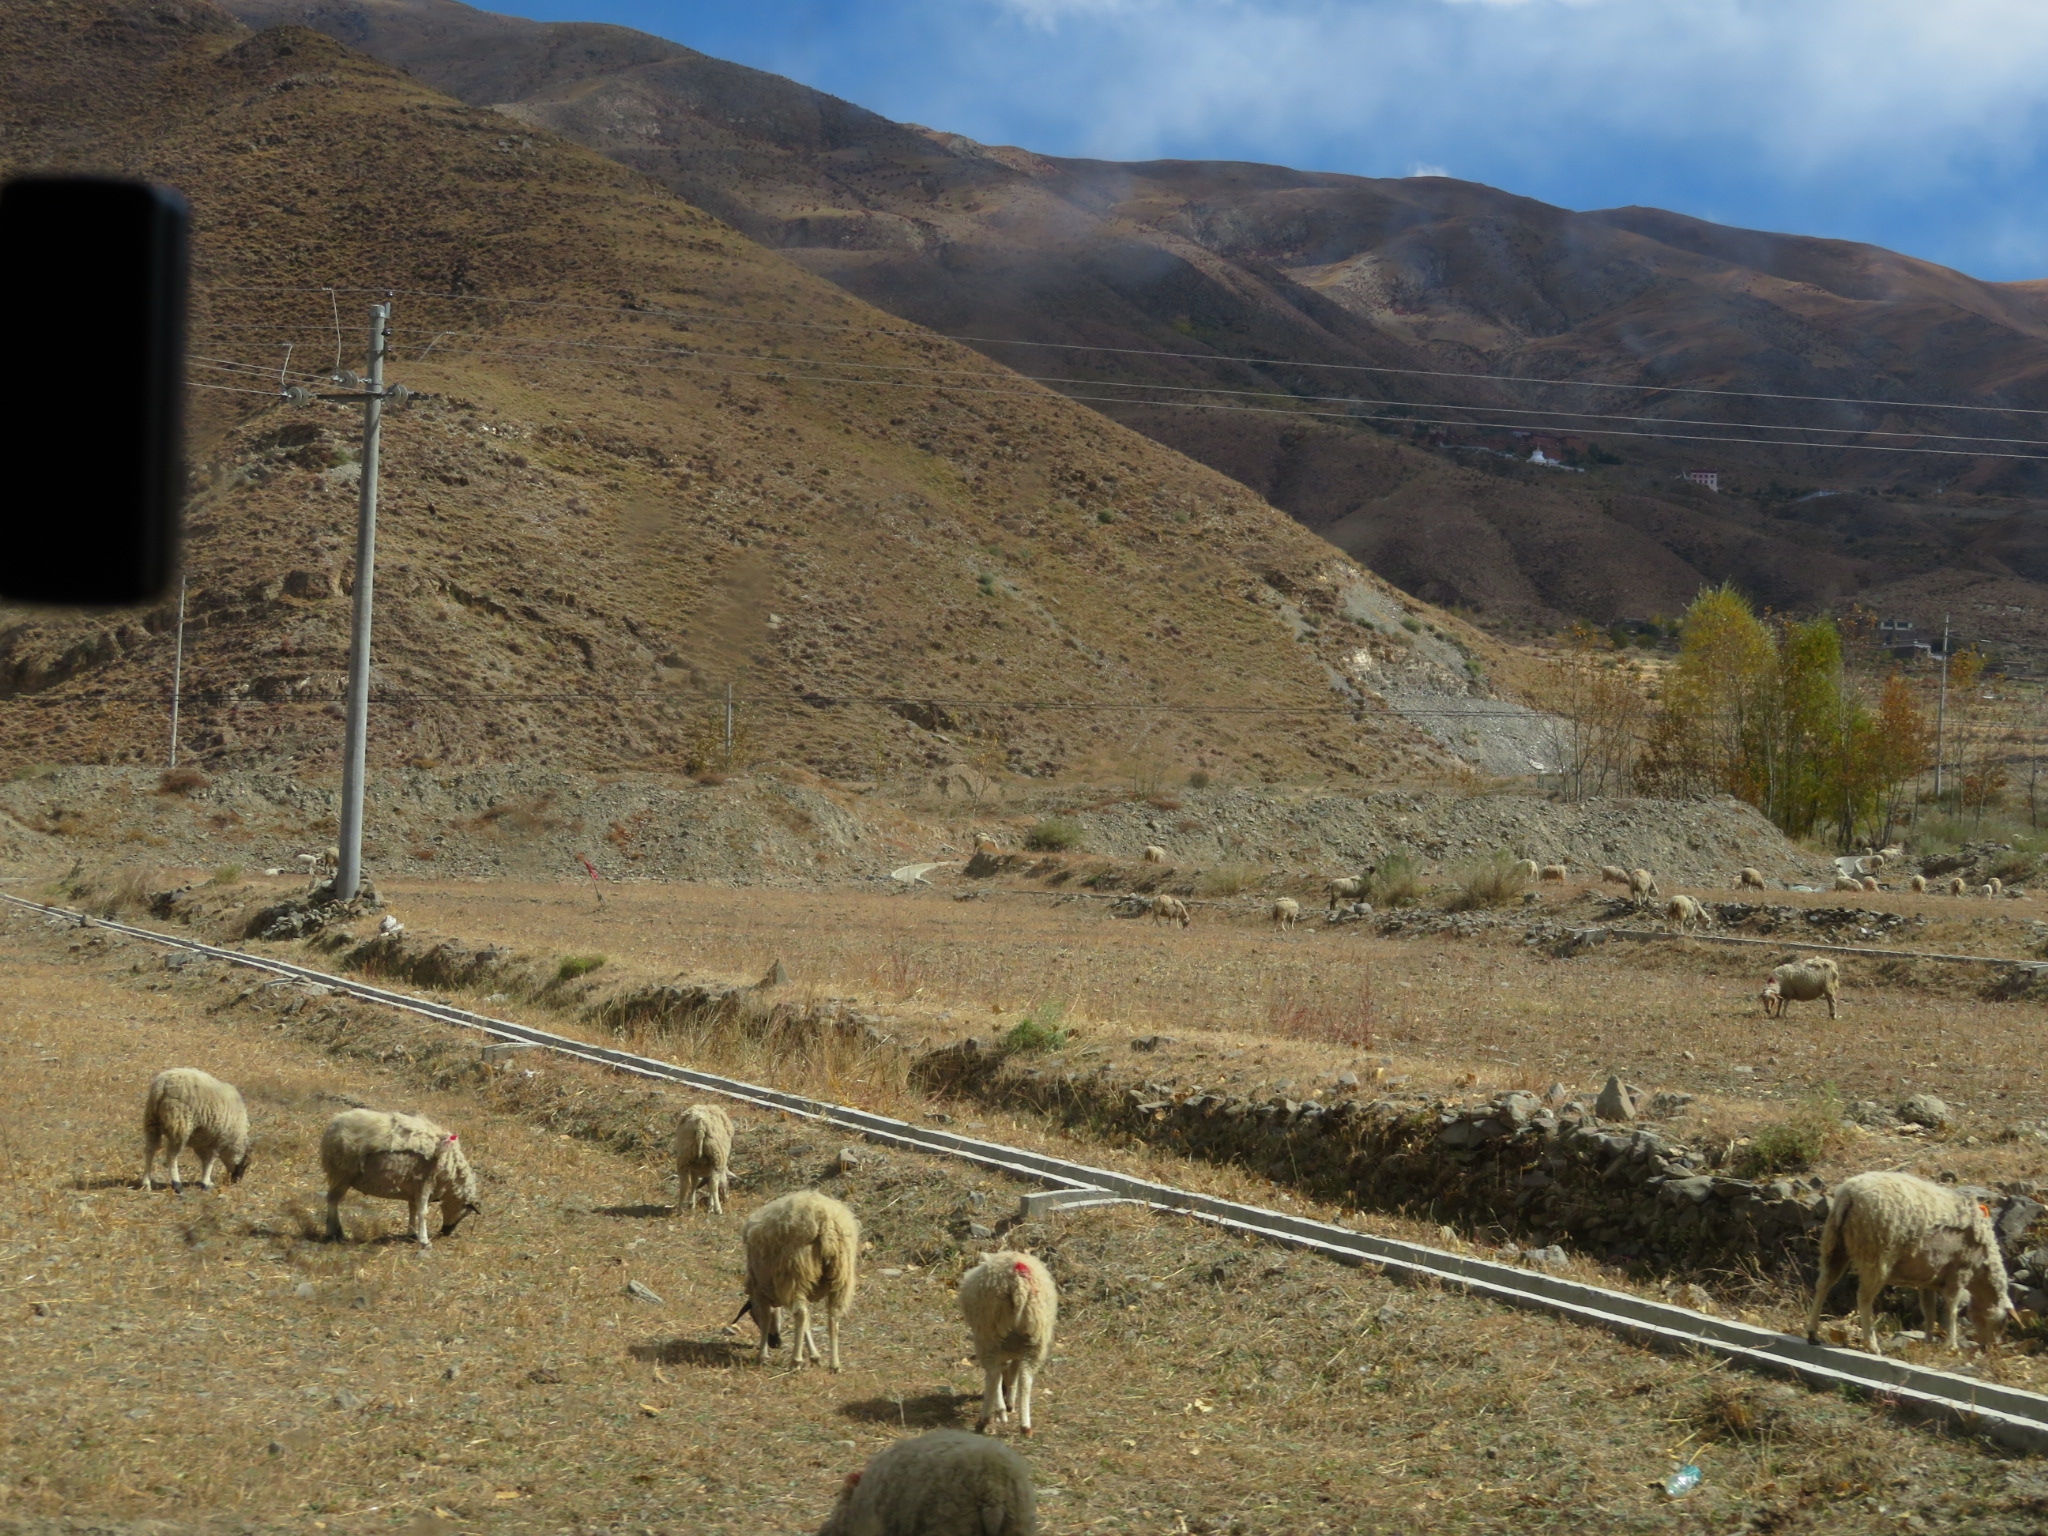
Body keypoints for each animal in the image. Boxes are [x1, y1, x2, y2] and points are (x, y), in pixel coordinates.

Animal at [317, 1105, 477, 1253]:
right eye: (466, 1212)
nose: (446, 1232)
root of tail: (333, 1125)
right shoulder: (426, 1182)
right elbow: (423, 1212)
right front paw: (425, 1241)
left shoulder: (415, 1186)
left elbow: (413, 1209)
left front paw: (412, 1234)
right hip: (342, 1172)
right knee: (333, 1200)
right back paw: (332, 1233)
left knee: (334, 1199)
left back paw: (337, 1233)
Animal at [741, 1187, 860, 1368]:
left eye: (753, 1316)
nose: (776, 1344)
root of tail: (825, 1222)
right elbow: (807, 1324)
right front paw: (815, 1356)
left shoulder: (761, 1290)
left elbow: (768, 1319)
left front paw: (762, 1356)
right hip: (841, 1274)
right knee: (833, 1316)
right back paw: (834, 1364)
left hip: (795, 1272)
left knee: (801, 1313)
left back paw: (795, 1361)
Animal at [954, 1253, 1064, 1441]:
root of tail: (1018, 1282)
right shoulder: (1016, 1350)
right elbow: (1013, 1373)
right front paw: (1010, 1403)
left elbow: (1001, 1374)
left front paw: (1002, 1408)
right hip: (1035, 1338)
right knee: (1026, 1379)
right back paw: (1025, 1426)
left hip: (988, 1333)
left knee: (993, 1374)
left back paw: (985, 1419)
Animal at [1810, 1171, 2015, 1351]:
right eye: (2004, 1322)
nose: (1991, 1348)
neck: (1981, 1271)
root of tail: (1849, 1194)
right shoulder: (1958, 1273)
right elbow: (1951, 1309)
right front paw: (1952, 1345)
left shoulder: (1928, 1279)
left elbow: (1929, 1311)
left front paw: (1928, 1340)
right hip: (1876, 1254)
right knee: (1863, 1297)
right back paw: (1871, 1345)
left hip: (1834, 1245)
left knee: (1823, 1284)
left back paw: (1812, 1334)